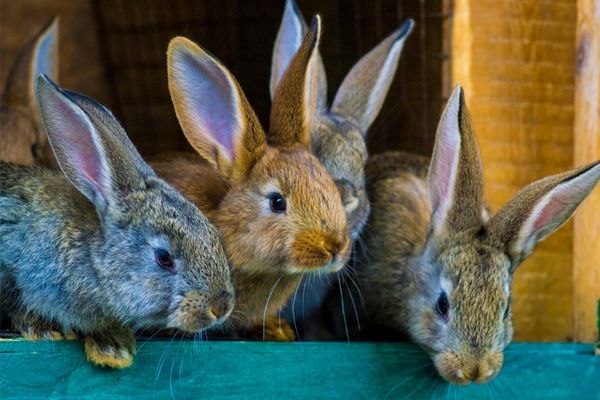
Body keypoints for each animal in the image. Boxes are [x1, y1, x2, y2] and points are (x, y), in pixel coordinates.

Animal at [0, 76, 234, 368]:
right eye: (164, 258)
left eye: (216, 238)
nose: (221, 308)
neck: (92, 260)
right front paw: (42, 329)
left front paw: (113, 346)